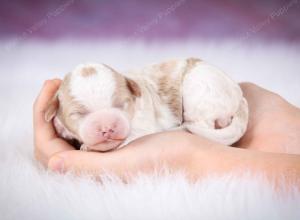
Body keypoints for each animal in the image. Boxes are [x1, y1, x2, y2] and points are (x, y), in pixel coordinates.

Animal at [44, 58, 250, 151]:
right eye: (78, 114)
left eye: (121, 105)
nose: (107, 127)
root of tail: (240, 97)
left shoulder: (140, 127)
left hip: (200, 91)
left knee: (200, 125)